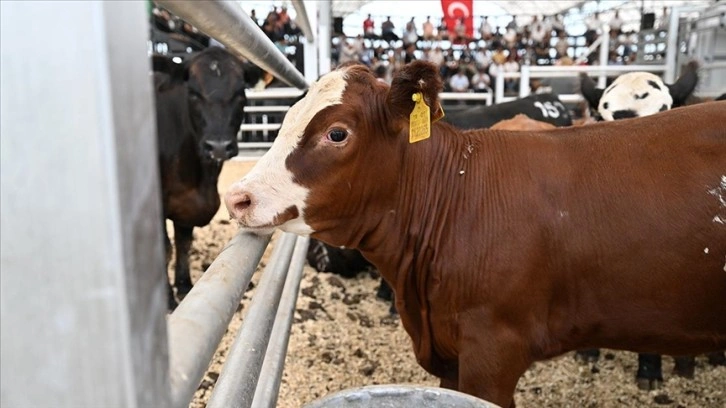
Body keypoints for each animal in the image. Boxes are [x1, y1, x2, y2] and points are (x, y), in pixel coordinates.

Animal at [153, 46, 258, 306]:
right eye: (192, 93)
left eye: (240, 93)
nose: (218, 146)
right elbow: (165, 248)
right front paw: (167, 299)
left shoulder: (187, 204)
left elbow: (183, 244)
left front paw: (184, 285)